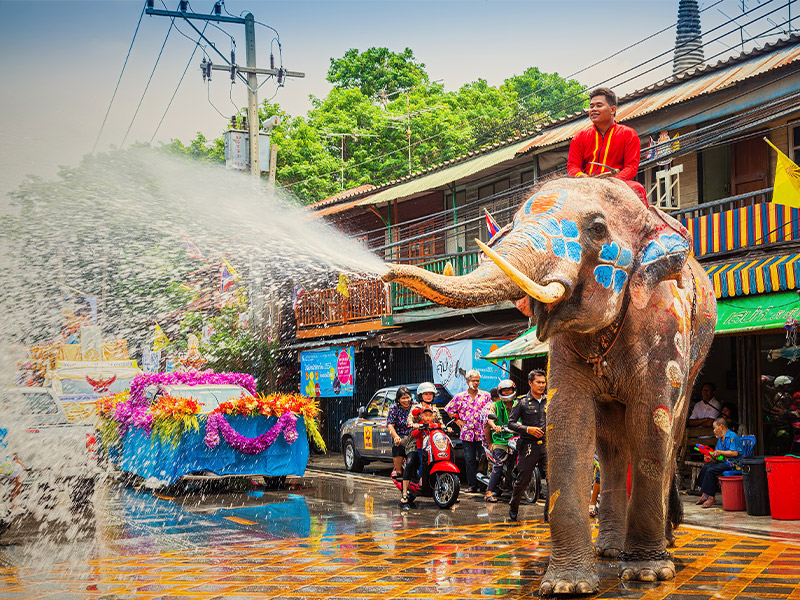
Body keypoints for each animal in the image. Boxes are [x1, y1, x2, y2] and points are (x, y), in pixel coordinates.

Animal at [384, 176, 716, 592]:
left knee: (671, 431)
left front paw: (647, 575)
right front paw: (567, 586)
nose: (383, 274)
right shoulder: (565, 348)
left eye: (597, 229)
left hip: (698, 351)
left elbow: (651, 421)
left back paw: (660, 547)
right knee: (610, 445)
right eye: (514, 222)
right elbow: (568, 420)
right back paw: (609, 550)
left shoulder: (664, 324)